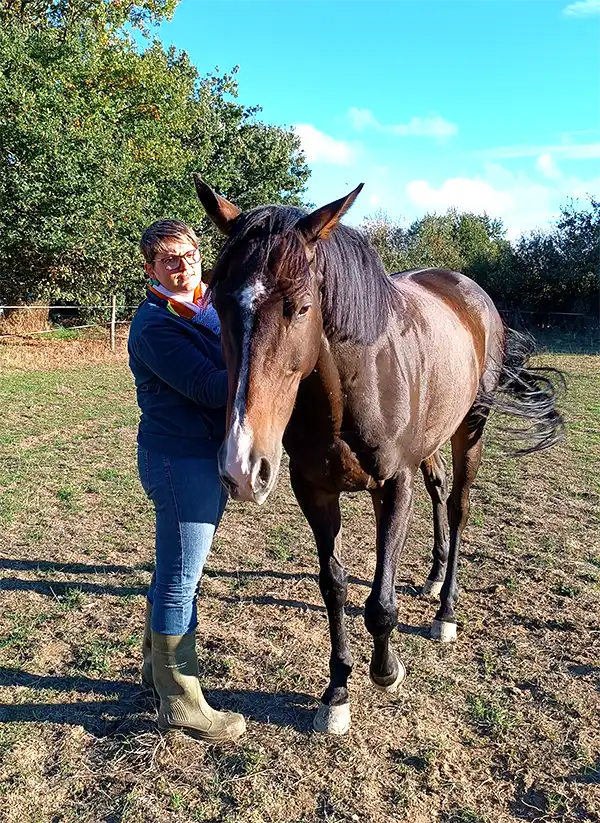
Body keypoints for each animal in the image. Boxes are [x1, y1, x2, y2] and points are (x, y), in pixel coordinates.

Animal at [193, 175, 564, 736]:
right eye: (217, 303)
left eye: (302, 307)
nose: (241, 466)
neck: (350, 387)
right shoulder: (314, 490)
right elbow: (335, 586)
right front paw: (337, 692)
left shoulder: (393, 485)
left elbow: (381, 604)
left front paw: (386, 671)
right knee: (438, 490)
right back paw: (432, 578)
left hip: (469, 429)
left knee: (458, 506)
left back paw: (446, 611)